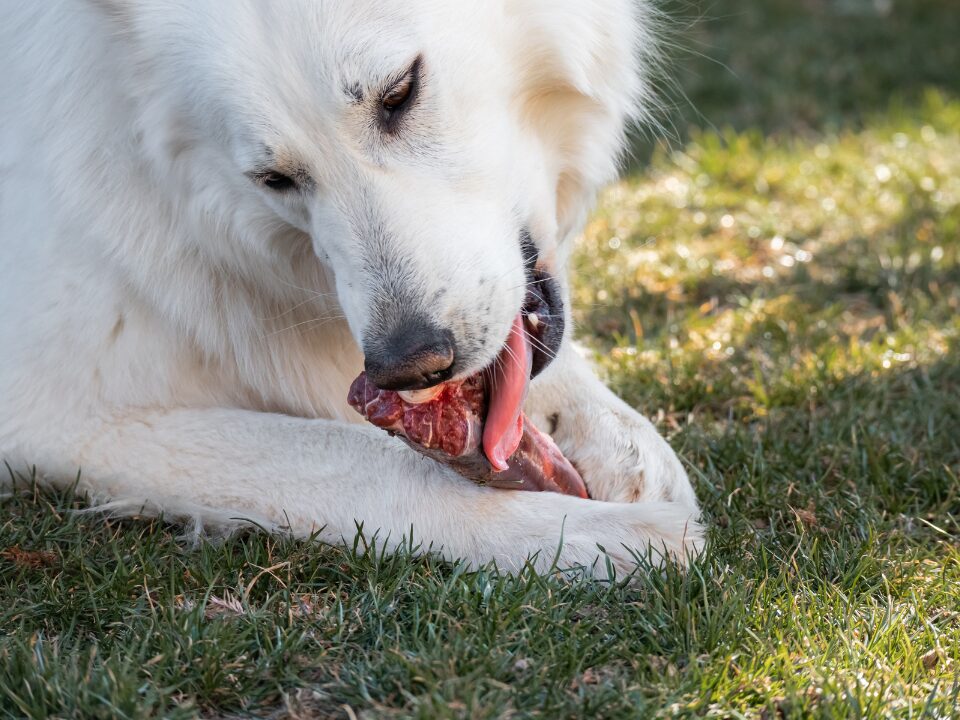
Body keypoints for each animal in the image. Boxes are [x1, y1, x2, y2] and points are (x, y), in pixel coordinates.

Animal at [0, 0, 702, 578]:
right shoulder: (52, 414)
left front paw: (623, 447)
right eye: (275, 179)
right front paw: (592, 536)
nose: (409, 365)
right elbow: (361, 459)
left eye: (400, 92)